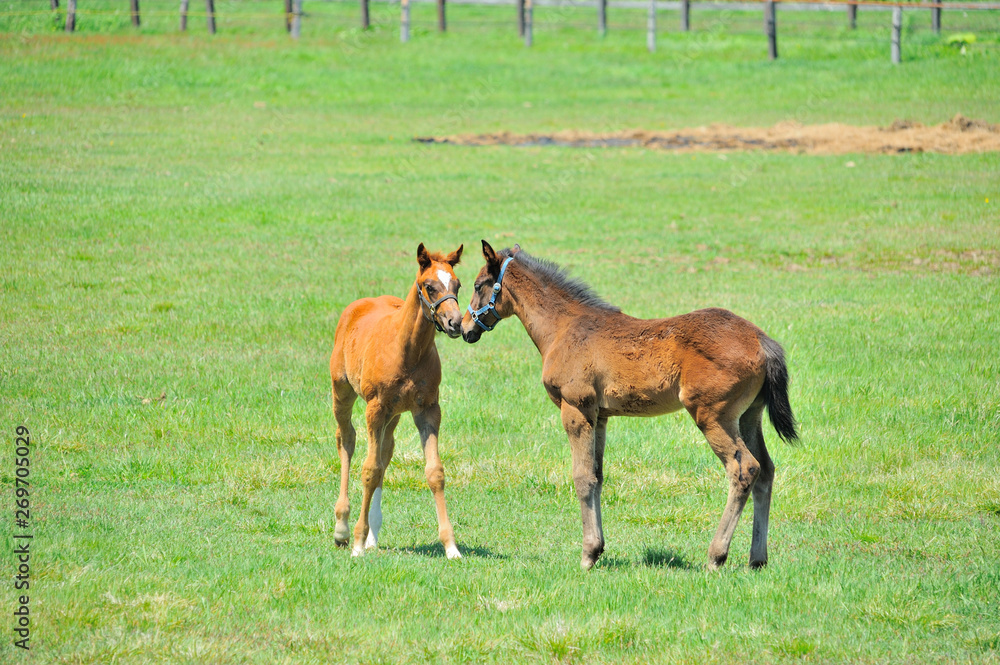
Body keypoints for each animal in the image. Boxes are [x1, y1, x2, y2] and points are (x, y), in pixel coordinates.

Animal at [330, 243, 465, 559]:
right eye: (430, 286)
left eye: (457, 285)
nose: (455, 323)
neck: (408, 351)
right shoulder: (375, 408)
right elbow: (369, 470)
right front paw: (357, 544)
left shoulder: (428, 410)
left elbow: (434, 472)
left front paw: (451, 547)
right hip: (343, 391)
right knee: (347, 439)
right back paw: (342, 528)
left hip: (395, 413)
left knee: (385, 451)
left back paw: (372, 536)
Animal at [461, 240, 798, 570]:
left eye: (478, 285)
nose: (463, 327)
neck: (564, 327)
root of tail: (762, 340)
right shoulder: (599, 416)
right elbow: (597, 476)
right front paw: (598, 549)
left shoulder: (575, 409)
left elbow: (582, 478)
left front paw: (587, 555)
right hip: (749, 416)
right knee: (766, 471)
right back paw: (757, 558)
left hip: (713, 416)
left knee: (745, 469)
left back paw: (716, 556)